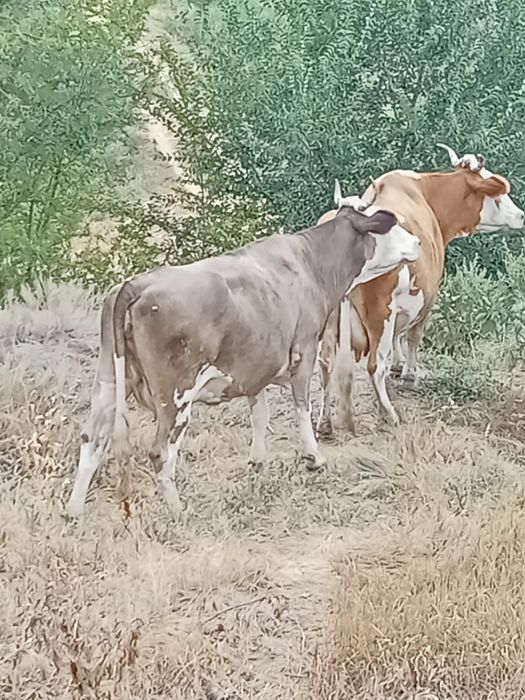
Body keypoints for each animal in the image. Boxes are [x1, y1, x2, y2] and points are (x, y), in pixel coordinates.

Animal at [65, 205, 421, 517]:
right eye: (391, 226)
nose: (418, 242)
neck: (312, 264)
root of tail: (135, 284)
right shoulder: (304, 349)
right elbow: (301, 406)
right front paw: (313, 457)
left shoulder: (256, 364)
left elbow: (260, 413)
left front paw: (258, 461)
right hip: (175, 394)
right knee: (161, 451)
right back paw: (178, 511)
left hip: (108, 381)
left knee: (91, 439)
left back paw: (73, 510)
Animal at [316, 145, 524, 437]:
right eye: (498, 195)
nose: (521, 216)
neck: (425, 194)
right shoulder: (429, 294)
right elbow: (414, 335)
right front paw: (410, 374)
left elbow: (399, 334)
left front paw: (398, 364)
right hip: (379, 311)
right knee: (374, 365)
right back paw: (389, 414)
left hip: (331, 317)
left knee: (326, 363)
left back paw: (324, 423)